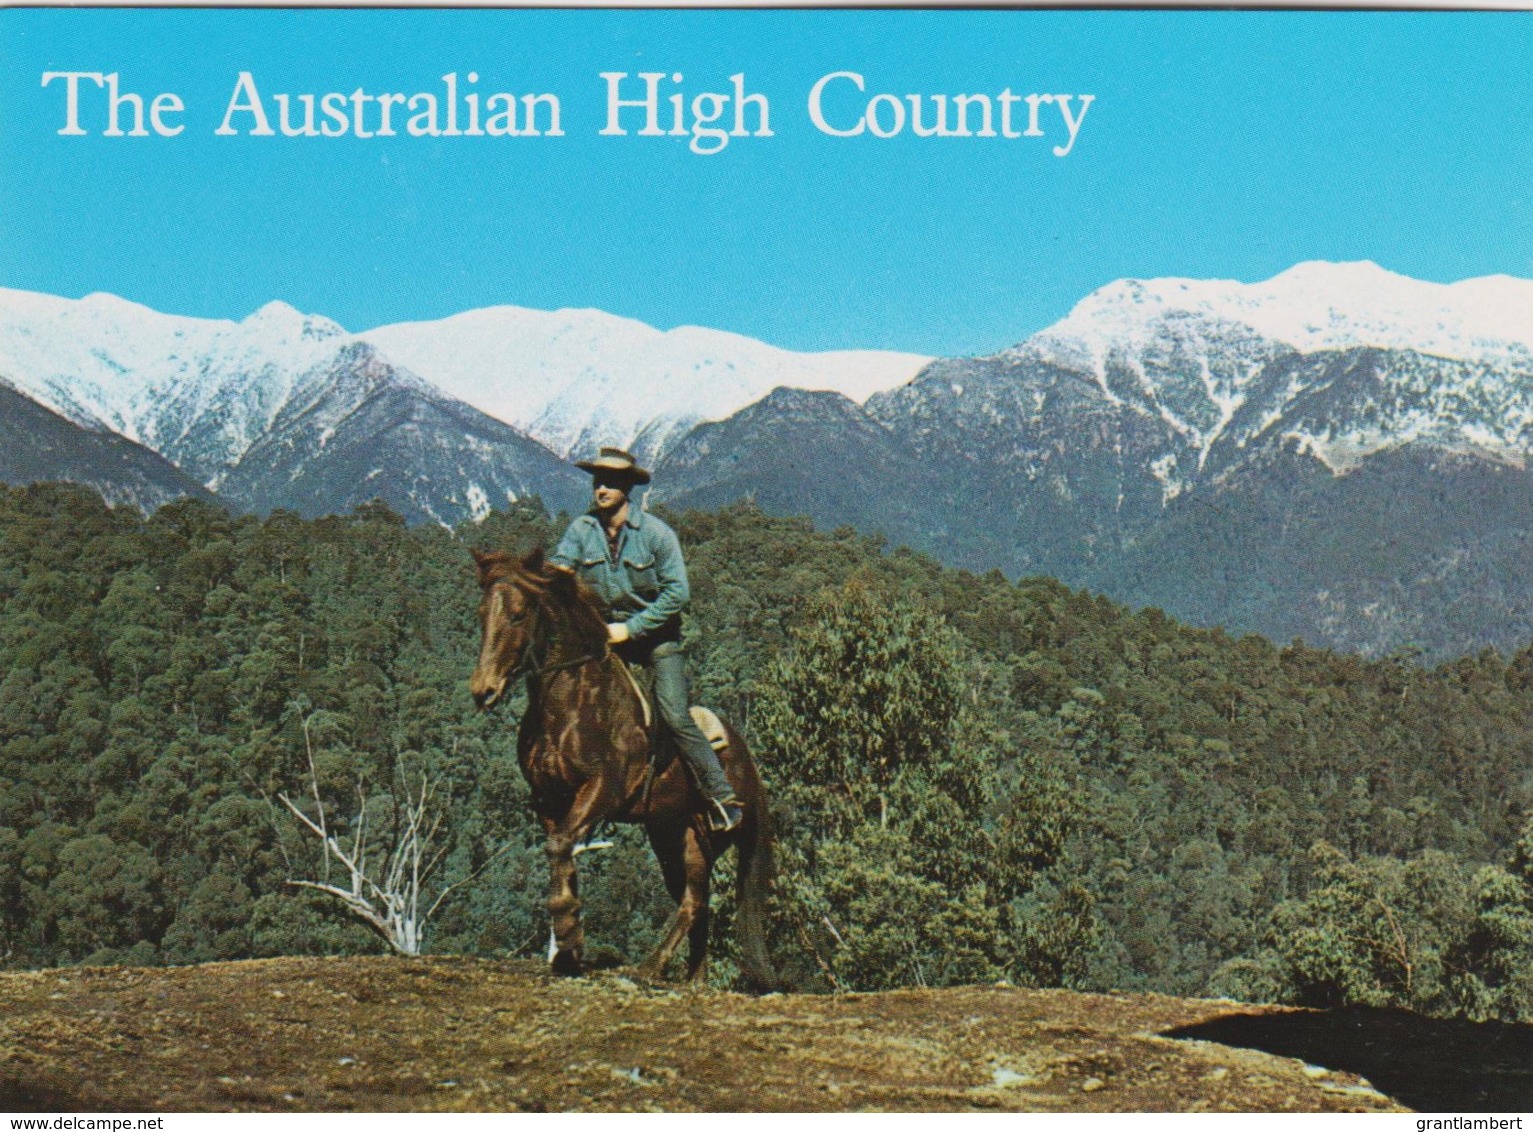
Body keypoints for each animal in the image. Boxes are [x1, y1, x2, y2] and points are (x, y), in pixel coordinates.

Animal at [466, 542, 778, 981]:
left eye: (518, 613)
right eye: (481, 613)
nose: (483, 690)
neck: (572, 703)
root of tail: (746, 760)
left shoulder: (602, 790)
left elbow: (560, 847)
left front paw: (567, 930)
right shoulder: (549, 801)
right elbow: (560, 853)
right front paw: (568, 947)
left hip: (704, 837)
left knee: (695, 900)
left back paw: (650, 965)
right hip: (670, 834)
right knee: (695, 903)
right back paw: (692, 979)